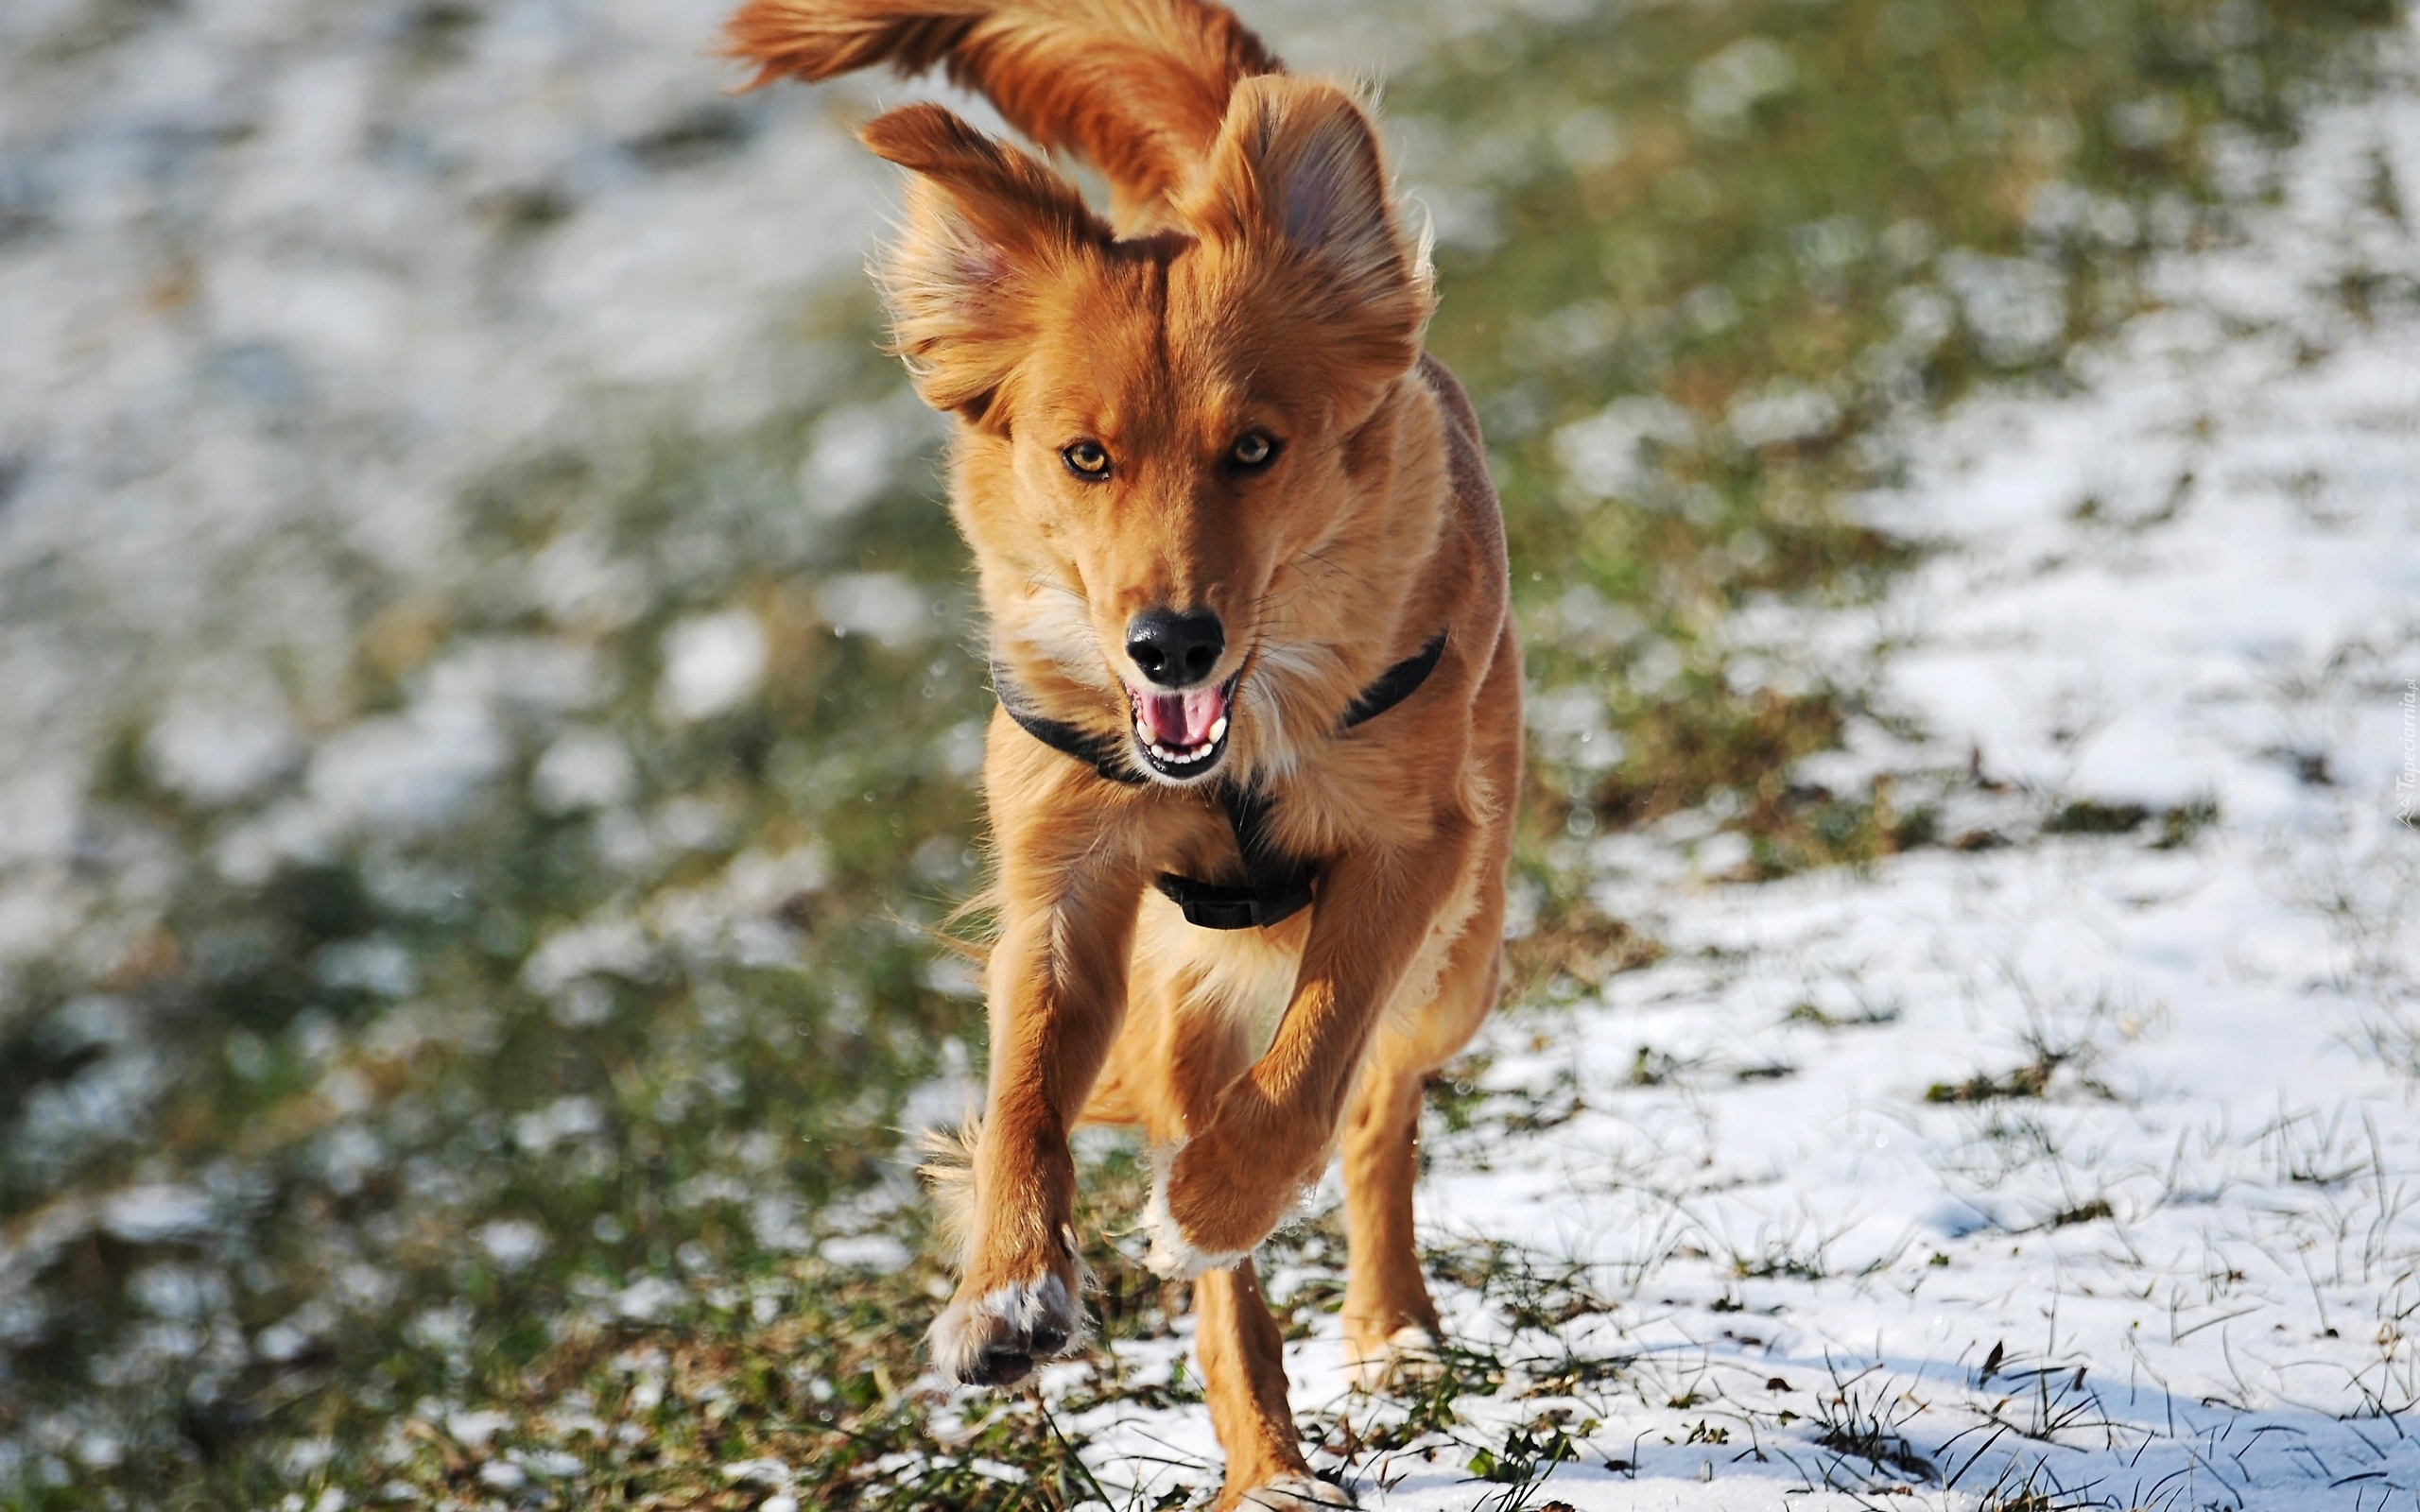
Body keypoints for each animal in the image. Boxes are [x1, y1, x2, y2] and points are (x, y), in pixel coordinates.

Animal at [716, 6, 1519, 1500]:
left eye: (1254, 448)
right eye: (1084, 457)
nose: (1169, 647)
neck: (1235, 747)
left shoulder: (1409, 845)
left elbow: (1315, 1058)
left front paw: (1208, 1199)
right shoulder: (1068, 875)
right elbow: (1025, 1093)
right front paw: (1004, 1293)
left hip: (1465, 955)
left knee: (1378, 1098)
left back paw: (1383, 1325)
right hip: (1188, 986)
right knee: (1229, 1245)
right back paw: (1267, 1466)